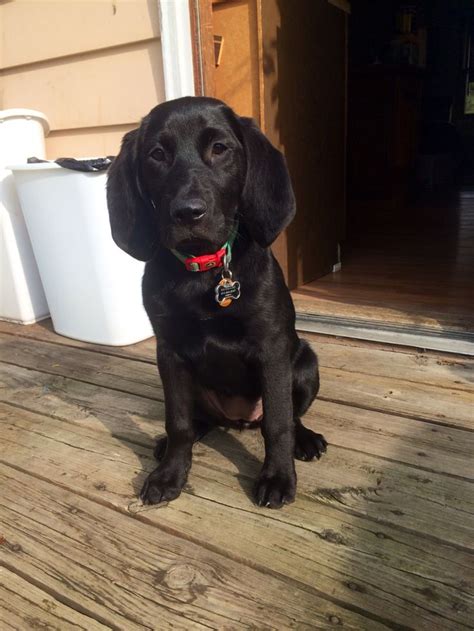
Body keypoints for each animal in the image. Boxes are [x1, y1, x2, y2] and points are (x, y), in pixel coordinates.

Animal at [107, 96, 326, 508]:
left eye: (220, 149)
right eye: (157, 154)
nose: (188, 212)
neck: (203, 270)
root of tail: (238, 419)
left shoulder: (272, 349)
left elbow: (278, 422)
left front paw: (277, 477)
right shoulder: (169, 352)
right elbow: (177, 421)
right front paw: (170, 474)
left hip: (305, 362)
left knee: (291, 416)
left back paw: (305, 439)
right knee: (199, 420)